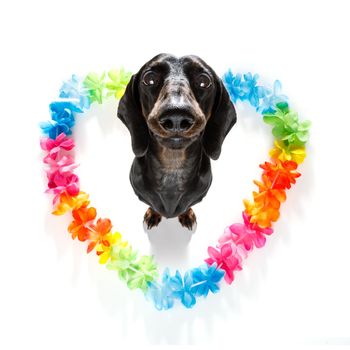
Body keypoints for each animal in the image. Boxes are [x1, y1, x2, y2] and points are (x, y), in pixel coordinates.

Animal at [117, 52, 235, 230]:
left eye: (204, 81)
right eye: (149, 78)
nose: (176, 117)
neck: (172, 169)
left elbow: (187, 206)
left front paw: (187, 214)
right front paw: (153, 214)